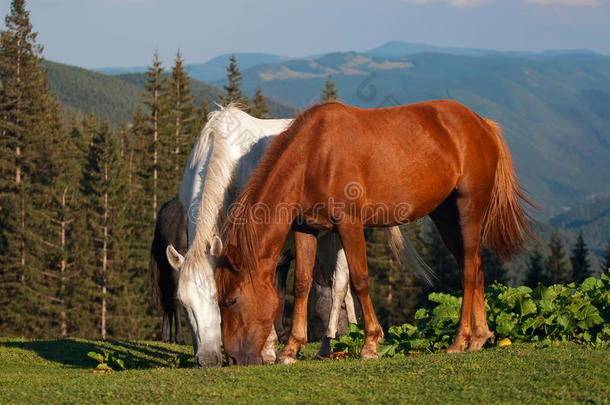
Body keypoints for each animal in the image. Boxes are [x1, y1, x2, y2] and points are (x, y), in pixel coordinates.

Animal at [166, 104, 430, 366]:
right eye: (185, 304)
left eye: (218, 299)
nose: (207, 360)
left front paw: (269, 349)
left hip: (336, 234)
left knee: (339, 285)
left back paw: (328, 344)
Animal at [214, 99, 532, 364]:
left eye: (231, 300)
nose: (233, 359)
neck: (315, 155)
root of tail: (482, 124)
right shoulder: (306, 228)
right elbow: (301, 284)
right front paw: (291, 349)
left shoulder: (350, 225)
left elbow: (360, 280)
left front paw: (370, 344)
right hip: (445, 215)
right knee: (475, 264)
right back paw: (479, 338)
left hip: (468, 209)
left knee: (467, 271)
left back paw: (459, 340)